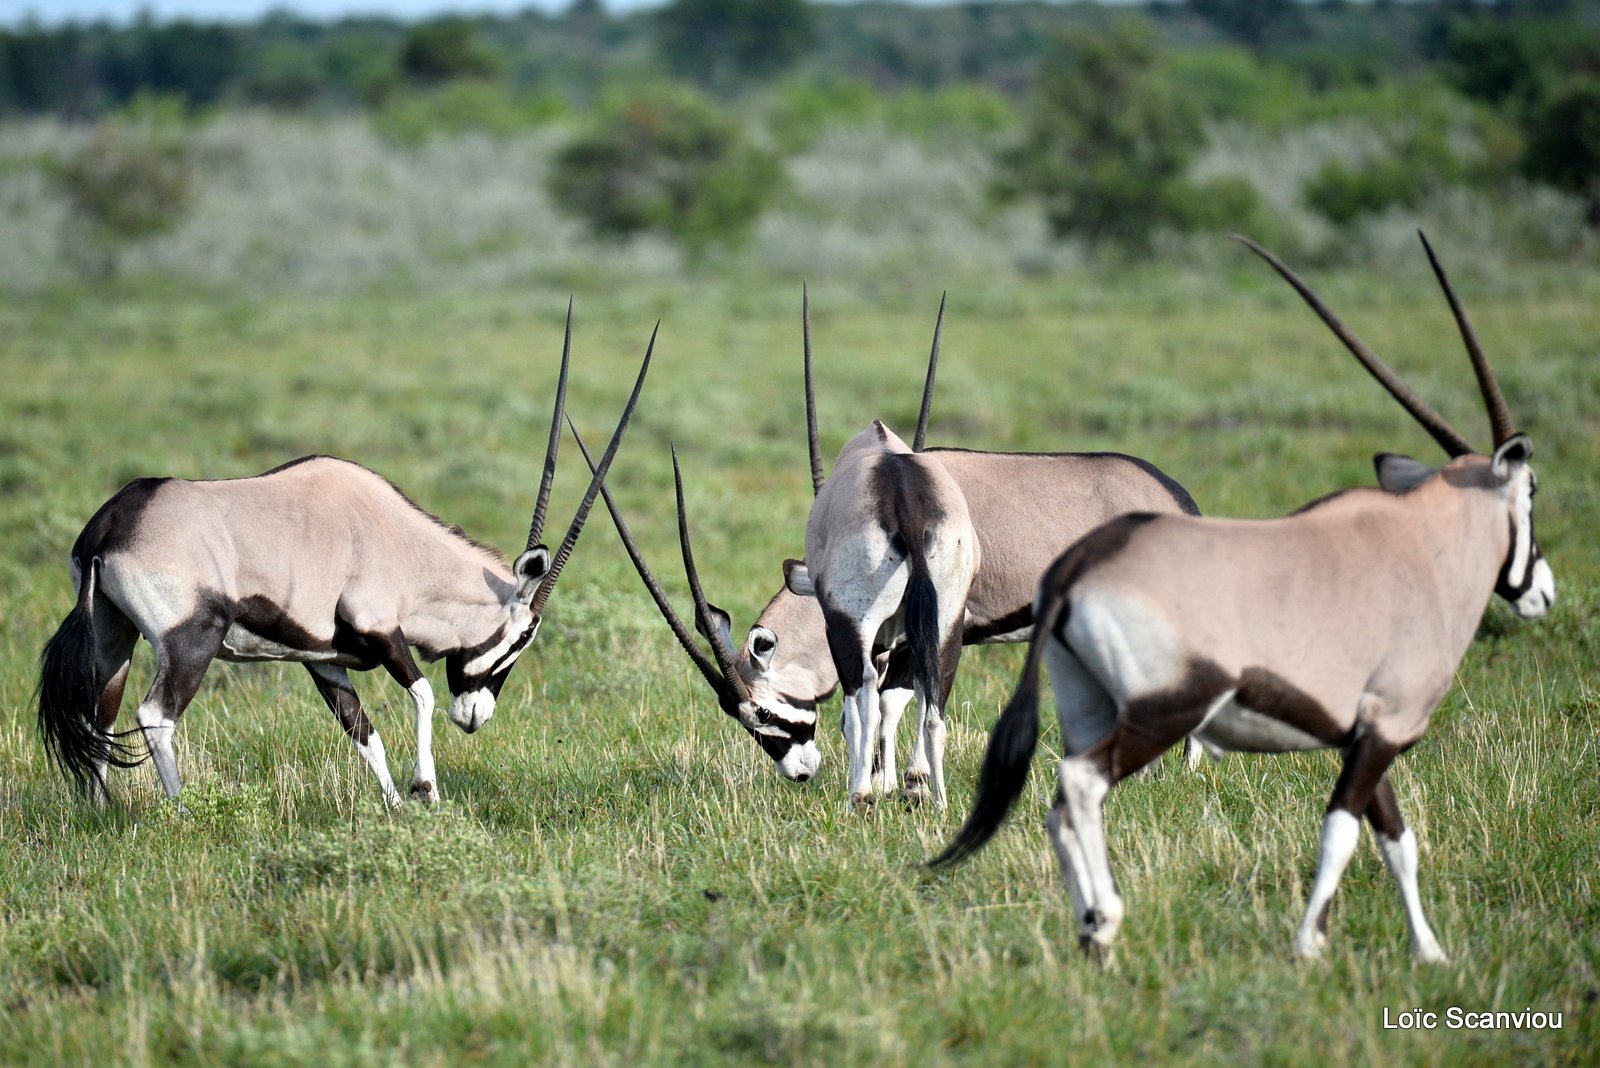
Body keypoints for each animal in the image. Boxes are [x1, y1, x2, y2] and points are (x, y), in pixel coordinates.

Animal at [40, 308, 659, 808]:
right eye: (522, 638)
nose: (474, 719)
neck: (397, 542)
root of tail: (110, 528)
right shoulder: (380, 628)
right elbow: (422, 693)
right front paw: (426, 789)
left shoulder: (324, 659)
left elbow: (364, 734)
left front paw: (395, 806)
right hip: (191, 640)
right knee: (154, 717)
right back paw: (182, 811)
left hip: (114, 638)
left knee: (100, 715)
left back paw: (102, 813)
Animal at [582, 289, 1196, 799]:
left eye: (764, 716)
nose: (800, 774)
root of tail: (1177, 497)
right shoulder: (916, 631)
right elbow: (903, 700)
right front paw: (905, 782)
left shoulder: (878, 636)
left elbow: (877, 702)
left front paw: (888, 783)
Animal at [934, 235, 1548, 965]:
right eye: (1531, 491)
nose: (1541, 591)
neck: (1421, 545)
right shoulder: (1383, 725)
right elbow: (1352, 829)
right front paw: (1318, 941)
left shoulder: (1366, 730)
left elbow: (1391, 836)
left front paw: (1421, 951)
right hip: (1154, 704)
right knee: (1081, 785)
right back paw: (1103, 916)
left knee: (1074, 791)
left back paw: (1097, 915)